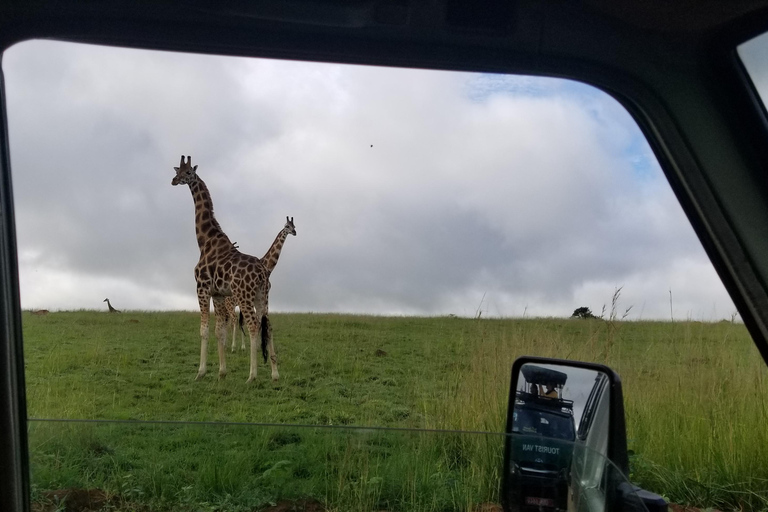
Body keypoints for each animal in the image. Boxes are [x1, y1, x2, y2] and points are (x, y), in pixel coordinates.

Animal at [172, 154, 280, 382]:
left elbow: (204, 330)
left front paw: (201, 372)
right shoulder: (219, 293)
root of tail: (262, 273)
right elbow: (219, 330)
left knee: (253, 325)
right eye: (177, 171)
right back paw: (275, 374)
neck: (204, 240)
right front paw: (222, 371)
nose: (174, 181)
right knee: (268, 325)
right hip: (262, 295)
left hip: (245, 295)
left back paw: (252, 376)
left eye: (188, 172)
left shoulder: (202, 288)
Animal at [226, 216, 296, 352]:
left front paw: (258, 346)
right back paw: (231, 346)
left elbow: (260, 321)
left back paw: (237, 346)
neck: (268, 267)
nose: (294, 232)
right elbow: (258, 321)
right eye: (287, 226)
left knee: (234, 321)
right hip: (230, 304)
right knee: (232, 321)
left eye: (294, 226)